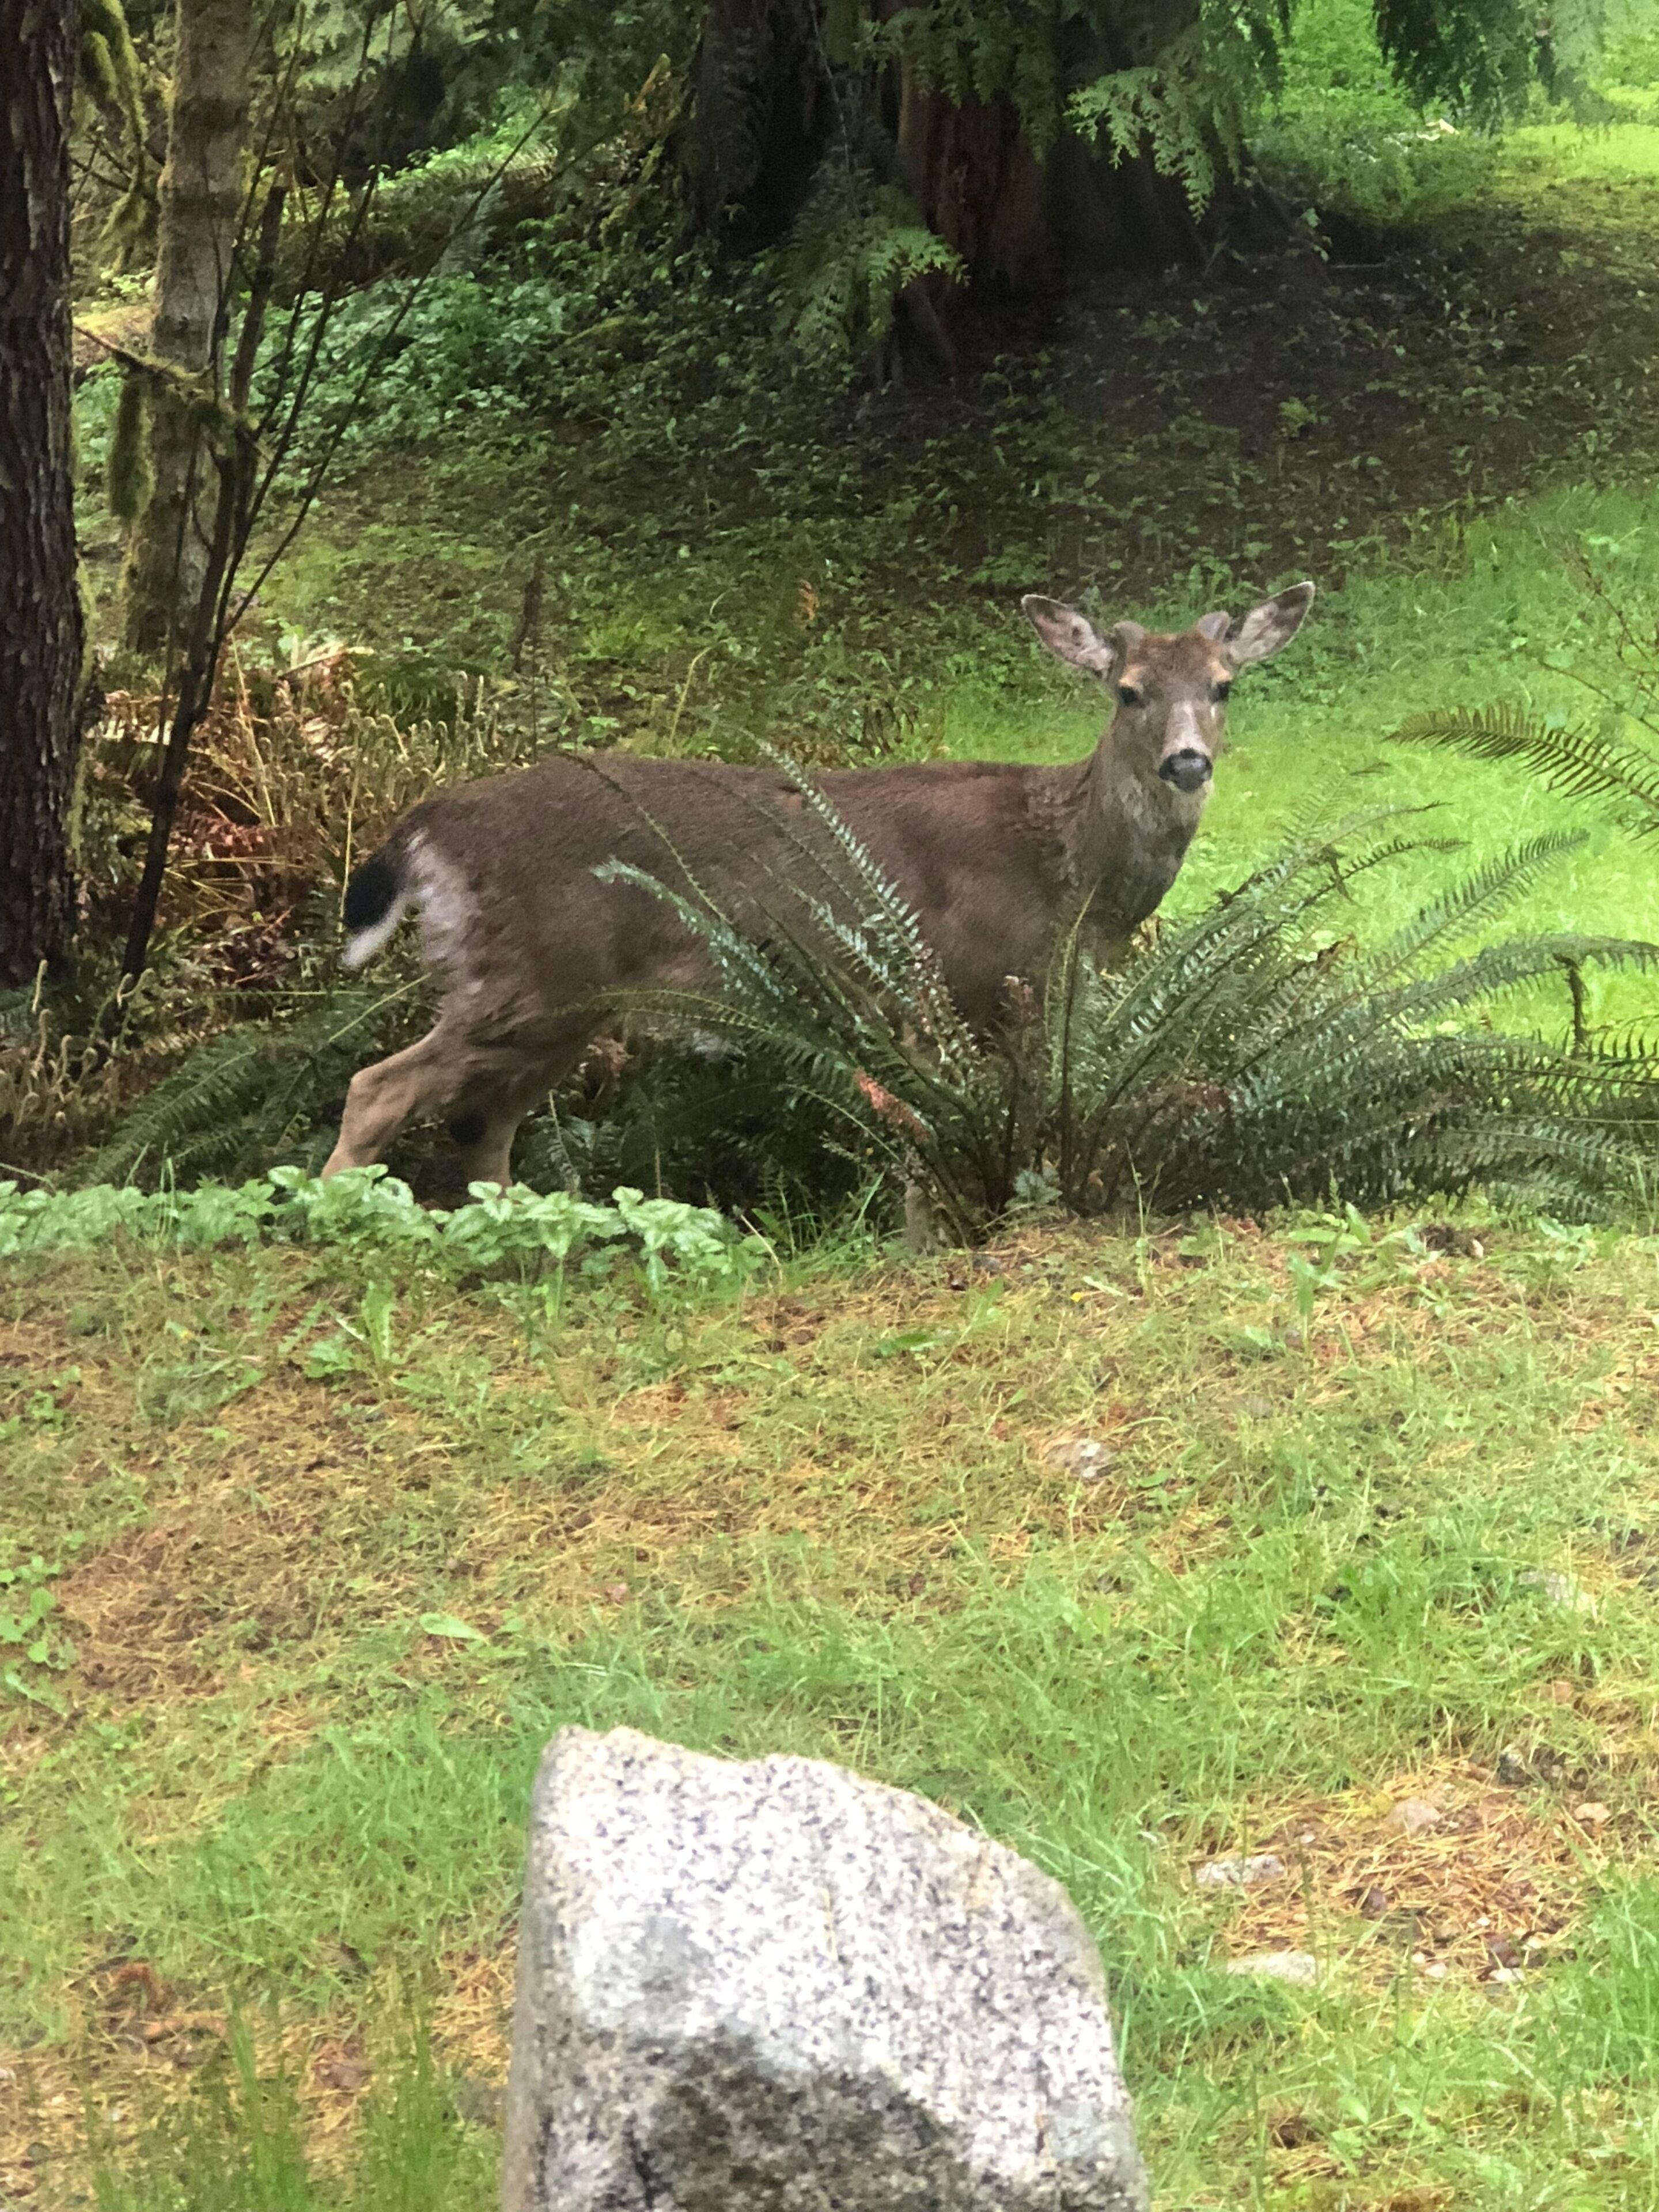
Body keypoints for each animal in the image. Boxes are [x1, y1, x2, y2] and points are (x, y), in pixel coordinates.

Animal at [322, 582, 1314, 1188]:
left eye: (1224, 685)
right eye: (1129, 691)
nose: (1187, 763)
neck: (1071, 880)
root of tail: (428, 825)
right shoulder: (977, 984)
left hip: (555, 999)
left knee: (481, 1123)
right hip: (531, 975)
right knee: (381, 1087)